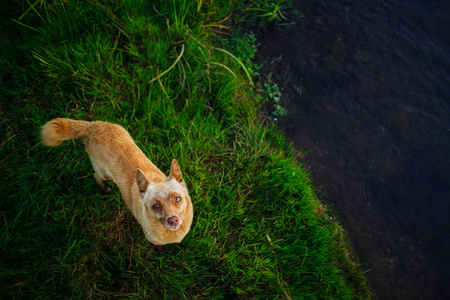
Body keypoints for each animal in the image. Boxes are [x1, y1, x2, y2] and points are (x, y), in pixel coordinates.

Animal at [40, 117, 192, 248]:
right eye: (155, 206)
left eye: (177, 199)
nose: (173, 220)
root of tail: (93, 126)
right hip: (104, 173)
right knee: (96, 175)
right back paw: (105, 189)